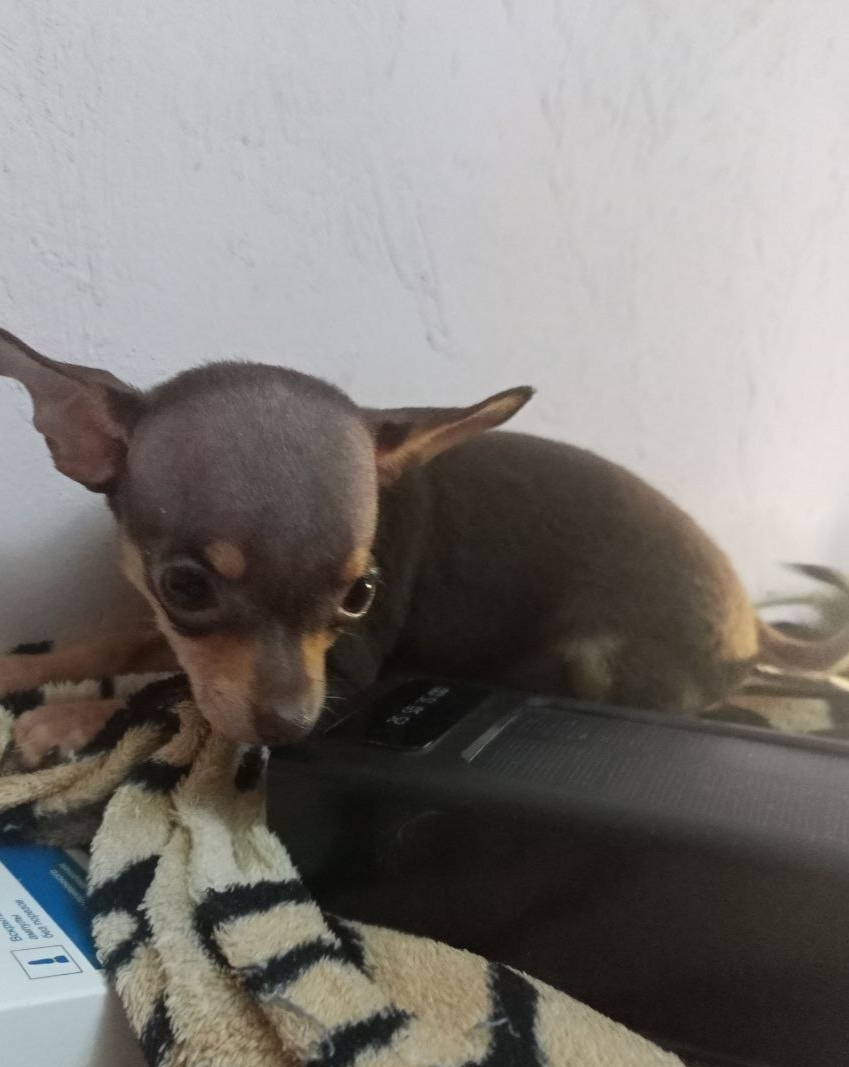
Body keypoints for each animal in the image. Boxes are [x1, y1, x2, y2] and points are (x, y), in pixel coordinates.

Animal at [1, 327, 848, 767]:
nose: (292, 727)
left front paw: (67, 719)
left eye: (359, 595)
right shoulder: (182, 636)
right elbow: (121, 646)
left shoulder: (344, 671)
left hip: (610, 659)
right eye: (183, 586)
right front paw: (29, 668)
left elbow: (169, 688)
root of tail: (748, 615)